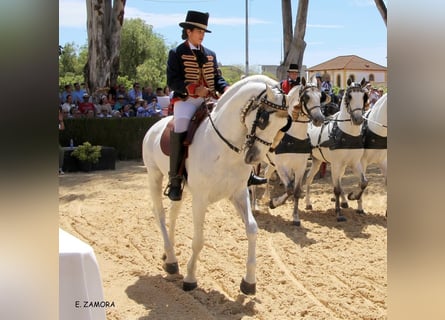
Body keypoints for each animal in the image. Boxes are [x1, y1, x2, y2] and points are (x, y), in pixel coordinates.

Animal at [141, 75, 294, 296]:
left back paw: (168, 254)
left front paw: (249, 281)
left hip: (180, 191)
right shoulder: (200, 199)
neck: (224, 147)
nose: (254, 158)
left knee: (172, 214)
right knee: (159, 214)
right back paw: (171, 259)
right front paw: (190, 278)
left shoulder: (239, 193)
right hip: (154, 176)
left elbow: (252, 229)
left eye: (284, 125)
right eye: (263, 119)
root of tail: (155, 126)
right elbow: (198, 240)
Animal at [260, 79, 326, 226]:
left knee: (266, 174)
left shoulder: (299, 167)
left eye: (320, 97)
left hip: (272, 164)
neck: (294, 137)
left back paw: (266, 197)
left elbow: (295, 191)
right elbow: (289, 188)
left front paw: (295, 217)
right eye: (306, 97)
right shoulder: (281, 167)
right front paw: (275, 202)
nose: (319, 119)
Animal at [304, 79, 366, 221]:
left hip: (317, 161)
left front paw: (352, 196)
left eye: (364, 97)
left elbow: (363, 182)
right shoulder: (336, 163)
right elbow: (336, 188)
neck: (347, 134)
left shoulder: (354, 163)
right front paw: (338, 213)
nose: (358, 119)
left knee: (310, 178)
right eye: (349, 97)